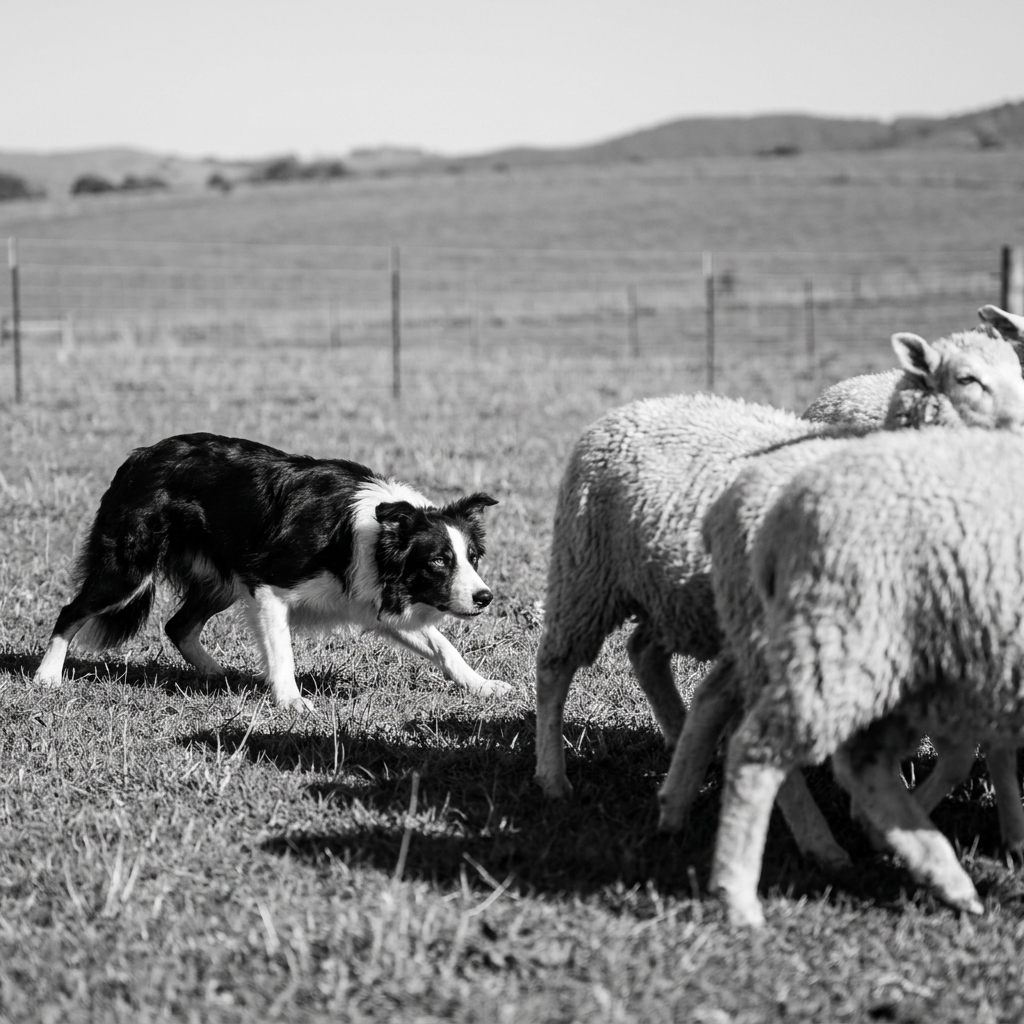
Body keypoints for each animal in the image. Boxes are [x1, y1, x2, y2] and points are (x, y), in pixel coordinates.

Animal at [535, 325, 1024, 813]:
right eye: (967, 379)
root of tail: (625, 409)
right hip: (584, 574)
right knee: (554, 667)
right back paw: (553, 777)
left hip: (671, 593)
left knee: (644, 652)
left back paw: (680, 740)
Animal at [702, 429, 1024, 926]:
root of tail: (780, 520)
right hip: (845, 639)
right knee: (758, 751)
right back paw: (737, 895)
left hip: (903, 668)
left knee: (865, 764)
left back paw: (943, 876)